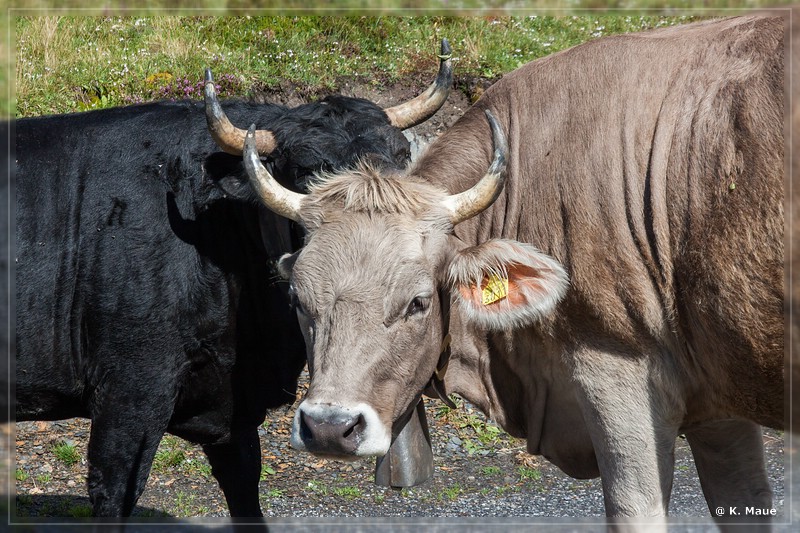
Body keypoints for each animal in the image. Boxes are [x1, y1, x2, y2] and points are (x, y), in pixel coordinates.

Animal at [12, 41, 454, 516]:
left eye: (402, 158)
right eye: (309, 169)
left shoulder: (235, 410)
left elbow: (244, 485)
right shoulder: (128, 394)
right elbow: (114, 492)